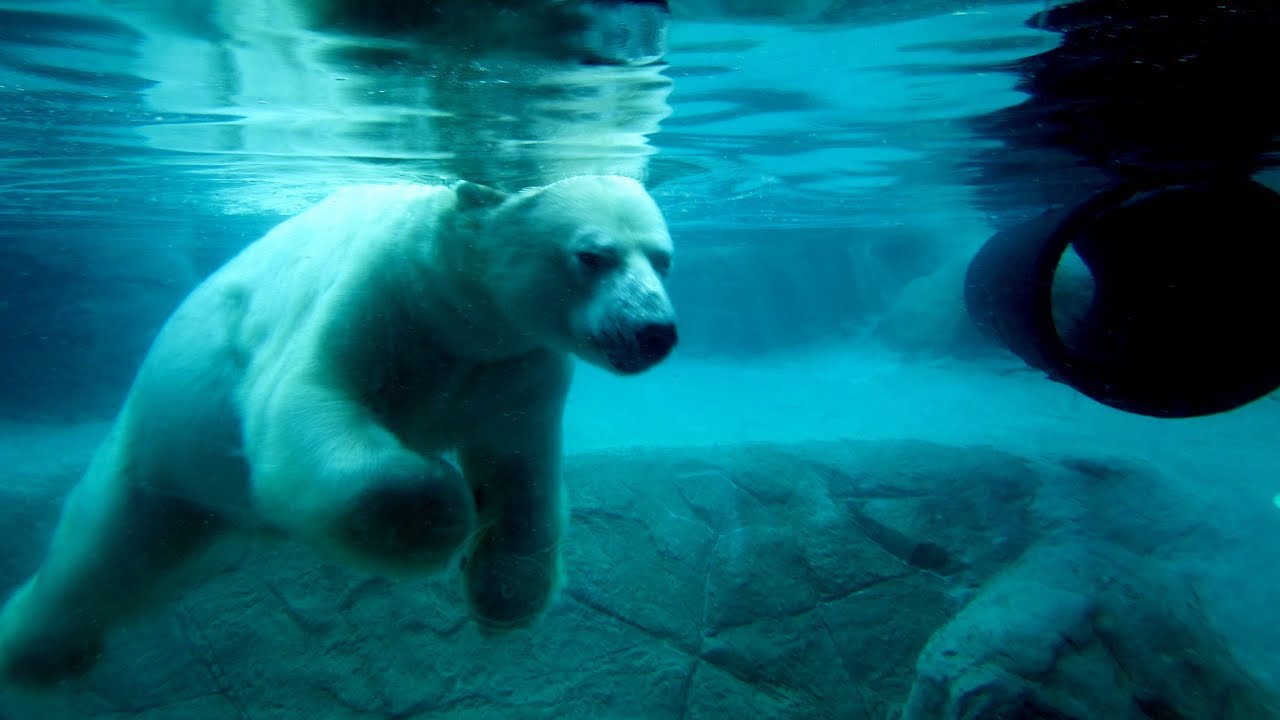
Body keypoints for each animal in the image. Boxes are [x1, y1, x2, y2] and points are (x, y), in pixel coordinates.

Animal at [0, 174, 678, 688]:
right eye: (592, 255)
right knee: (100, 550)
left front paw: (503, 598)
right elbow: (305, 404)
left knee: (137, 557)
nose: (655, 331)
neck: (458, 315)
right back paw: (37, 652)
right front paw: (439, 512)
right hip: (161, 440)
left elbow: (521, 475)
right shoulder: (378, 299)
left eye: (662, 259)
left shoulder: (515, 367)